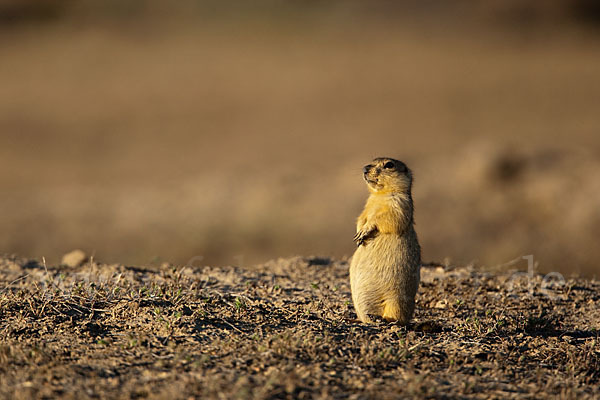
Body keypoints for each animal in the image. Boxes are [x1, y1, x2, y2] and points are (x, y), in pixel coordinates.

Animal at [346, 157, 422, 324]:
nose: (364, 168)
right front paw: (358, 235)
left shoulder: (399, 203)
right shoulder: (367, 206)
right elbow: (362, 217)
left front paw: (365, 231)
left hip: (396, 299)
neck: (380, 195)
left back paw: (383, 318)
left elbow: (386, 218)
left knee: (398, 317)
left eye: (389, 165)